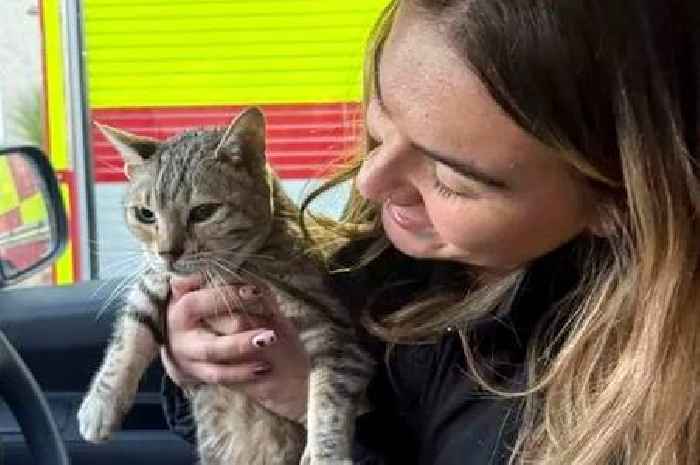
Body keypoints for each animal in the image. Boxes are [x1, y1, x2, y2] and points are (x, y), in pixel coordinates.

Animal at [77, 107, 374, 462]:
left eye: (203, 212)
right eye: (146, 215)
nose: (167, 252)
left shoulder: (334, 332)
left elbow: (328, 400)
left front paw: (325, 454)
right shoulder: (155, 278)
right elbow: (131, 331)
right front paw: (101, 403)